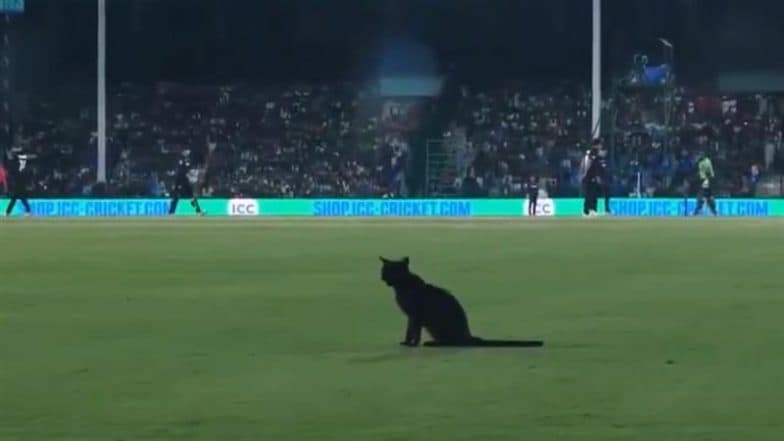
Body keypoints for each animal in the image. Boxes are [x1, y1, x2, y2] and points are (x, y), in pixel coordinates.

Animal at [380, 254, 544, 348]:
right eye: (385, 271)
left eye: (394, 270)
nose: (384, 279)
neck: (401, 286)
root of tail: (468, 335)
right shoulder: (412, 316)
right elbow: (411, 331)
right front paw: (409, 343)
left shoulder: (415, 315)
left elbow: (412, 331)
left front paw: (411, 344)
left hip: (437, 325)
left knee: (450, 342)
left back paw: (432, 343)